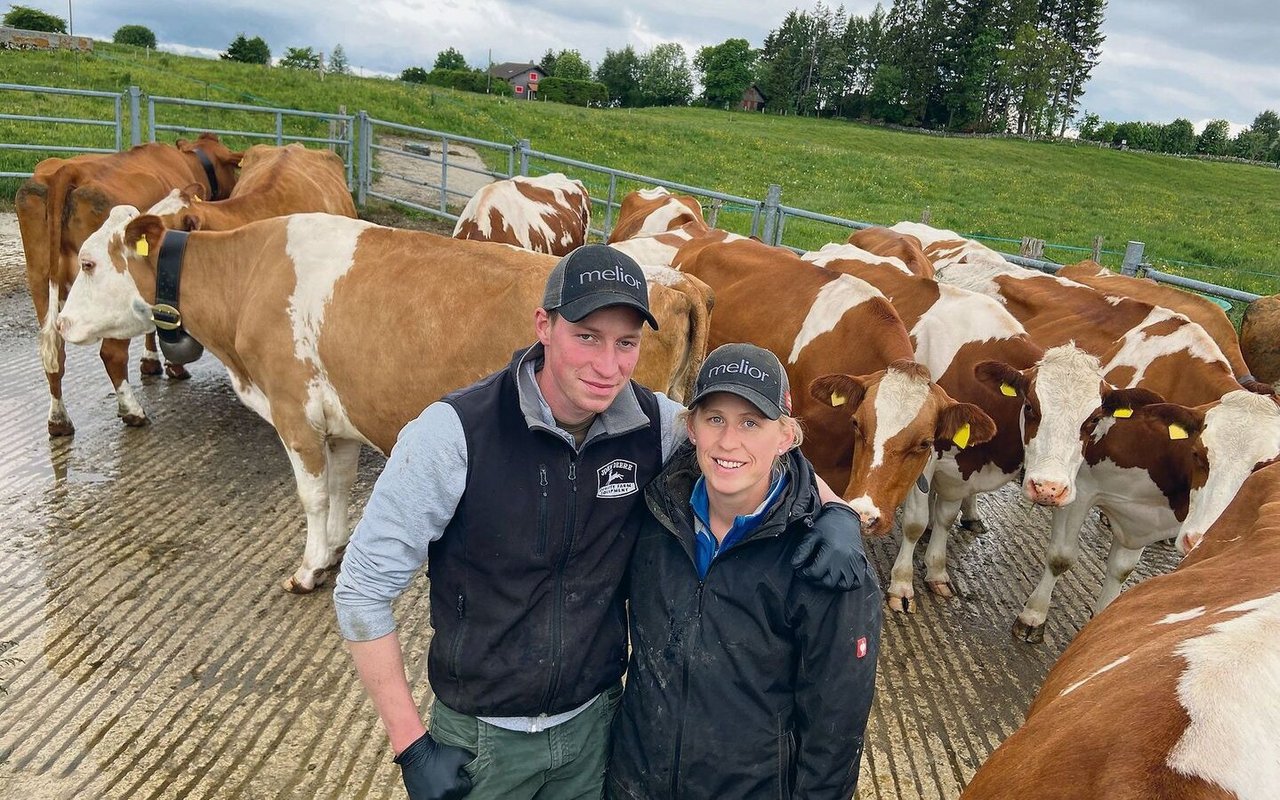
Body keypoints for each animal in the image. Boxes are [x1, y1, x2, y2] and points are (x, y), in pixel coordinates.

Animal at [13, 136, 240, 437]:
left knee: (53, 352)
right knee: (110, 353)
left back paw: (59, 420)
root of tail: (67, 169)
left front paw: (151, 362)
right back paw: (132, 411)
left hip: (39, 278)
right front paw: (172, 366)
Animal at [57, 208, 711, 588]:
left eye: (86, 262)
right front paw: (334, 550)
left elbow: (313, 494)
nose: (60, 323)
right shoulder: (339, 416)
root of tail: (677, 280)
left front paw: (308, 568)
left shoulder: (293, 409)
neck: (250, 276)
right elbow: (342, 484)